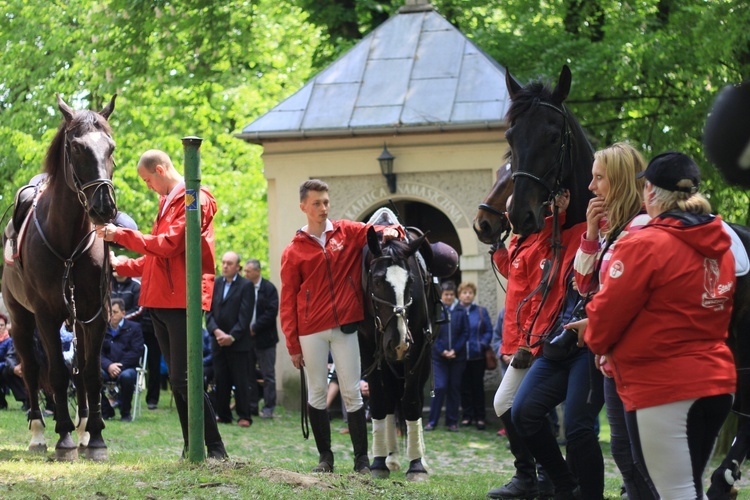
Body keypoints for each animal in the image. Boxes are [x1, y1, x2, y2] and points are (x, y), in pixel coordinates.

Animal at [1, 94, 117, 460]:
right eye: (77, 148)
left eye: (110, 146)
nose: (103, 205)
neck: (68, 243)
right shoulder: (45, 316)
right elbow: (55, 373)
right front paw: (63, 437)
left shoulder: (96, 314)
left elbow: (91, 374)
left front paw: (95, 438)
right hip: (21, 320)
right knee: (31, 369)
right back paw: (39, 433)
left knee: (78, 372)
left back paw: (83, 430)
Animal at [362, 210, 438, 480]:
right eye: (376, 281)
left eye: (410, 281)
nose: (398, 342)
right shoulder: (367, 348)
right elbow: (379, 401)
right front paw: (378, 462)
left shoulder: (417, 348)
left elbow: (412, 401)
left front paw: (416, 465)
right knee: (390, 398)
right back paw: (392, 456)